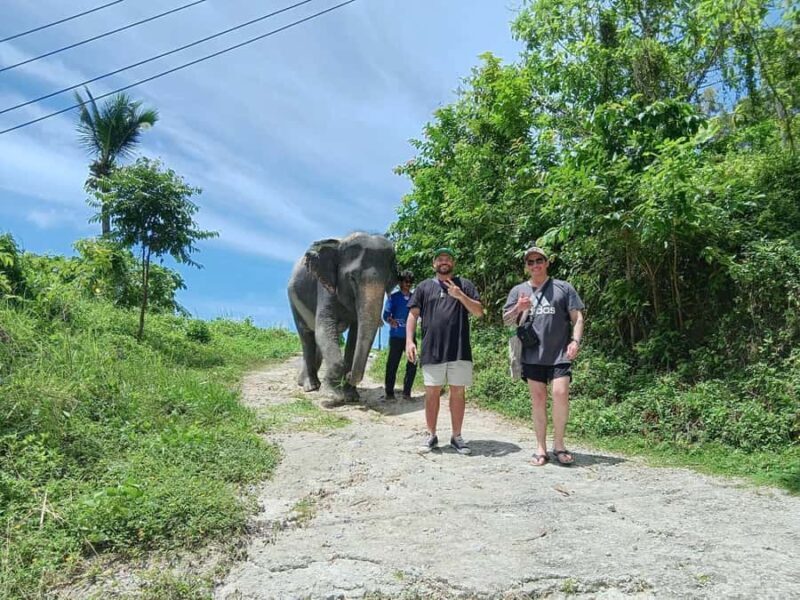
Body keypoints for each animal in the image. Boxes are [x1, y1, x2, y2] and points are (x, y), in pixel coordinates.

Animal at [287, 233, 398, 402]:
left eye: (387, 281)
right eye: (352, 278)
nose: (350, 375)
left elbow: (354, 334)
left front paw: (351, 396)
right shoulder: (325, 286)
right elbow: (324, 327)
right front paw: (333, 395)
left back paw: (305, 382)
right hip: (294, 302)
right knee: (307, 337)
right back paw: (311, 386)